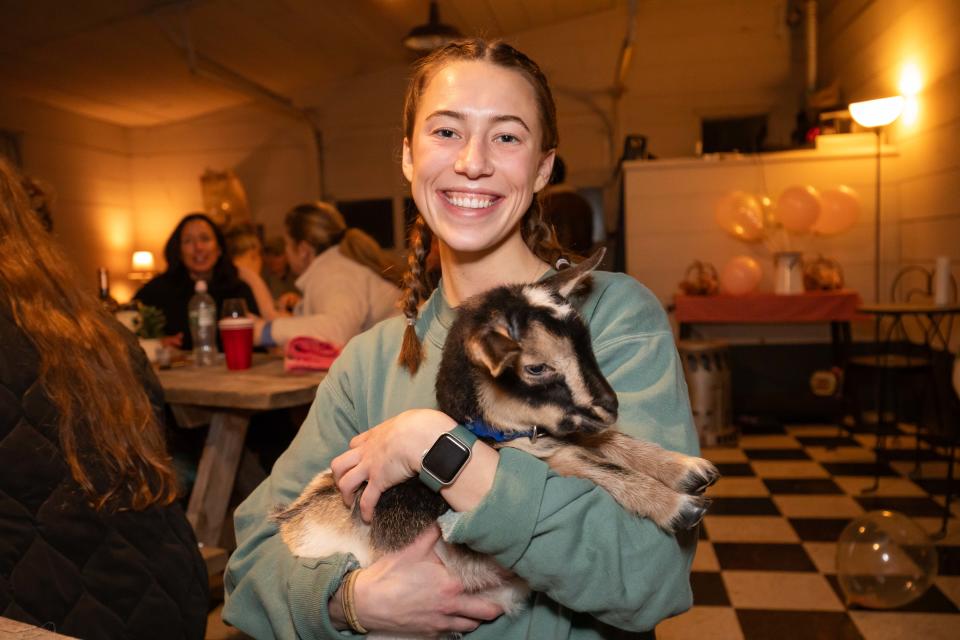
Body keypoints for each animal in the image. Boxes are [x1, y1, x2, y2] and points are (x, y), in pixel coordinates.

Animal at [274, 251, 716, 636]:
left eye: (587, 344)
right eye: (536, 367)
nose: (610, 405)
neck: (493, 437)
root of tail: (288, 523)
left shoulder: (555, 433)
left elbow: (601, 440)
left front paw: (688, 469)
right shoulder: (543, 458)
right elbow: (586, 461)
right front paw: (679, 506)